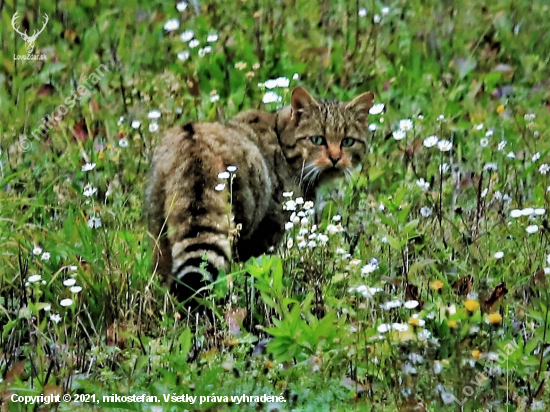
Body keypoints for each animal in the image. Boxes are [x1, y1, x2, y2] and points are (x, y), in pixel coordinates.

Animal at [144, 87, 376, 306]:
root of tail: (194, 142)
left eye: (348, 141)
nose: (336, 158)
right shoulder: (268, 233)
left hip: (160, 232)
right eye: (317, 139)